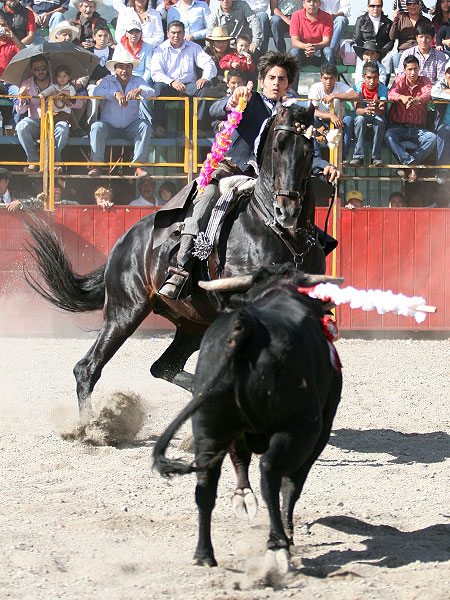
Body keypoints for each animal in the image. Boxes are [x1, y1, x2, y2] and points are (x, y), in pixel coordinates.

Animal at [153, 264, 342, 568]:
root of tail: (247, 328)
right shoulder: (317, 433)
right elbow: (292, 484)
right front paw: (287, 533)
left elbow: (240, 458)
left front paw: (243, 498)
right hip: (297, 430)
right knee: (271, 473)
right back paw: (278, 544)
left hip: (209, 428)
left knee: (205, 485)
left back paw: (204, 553)